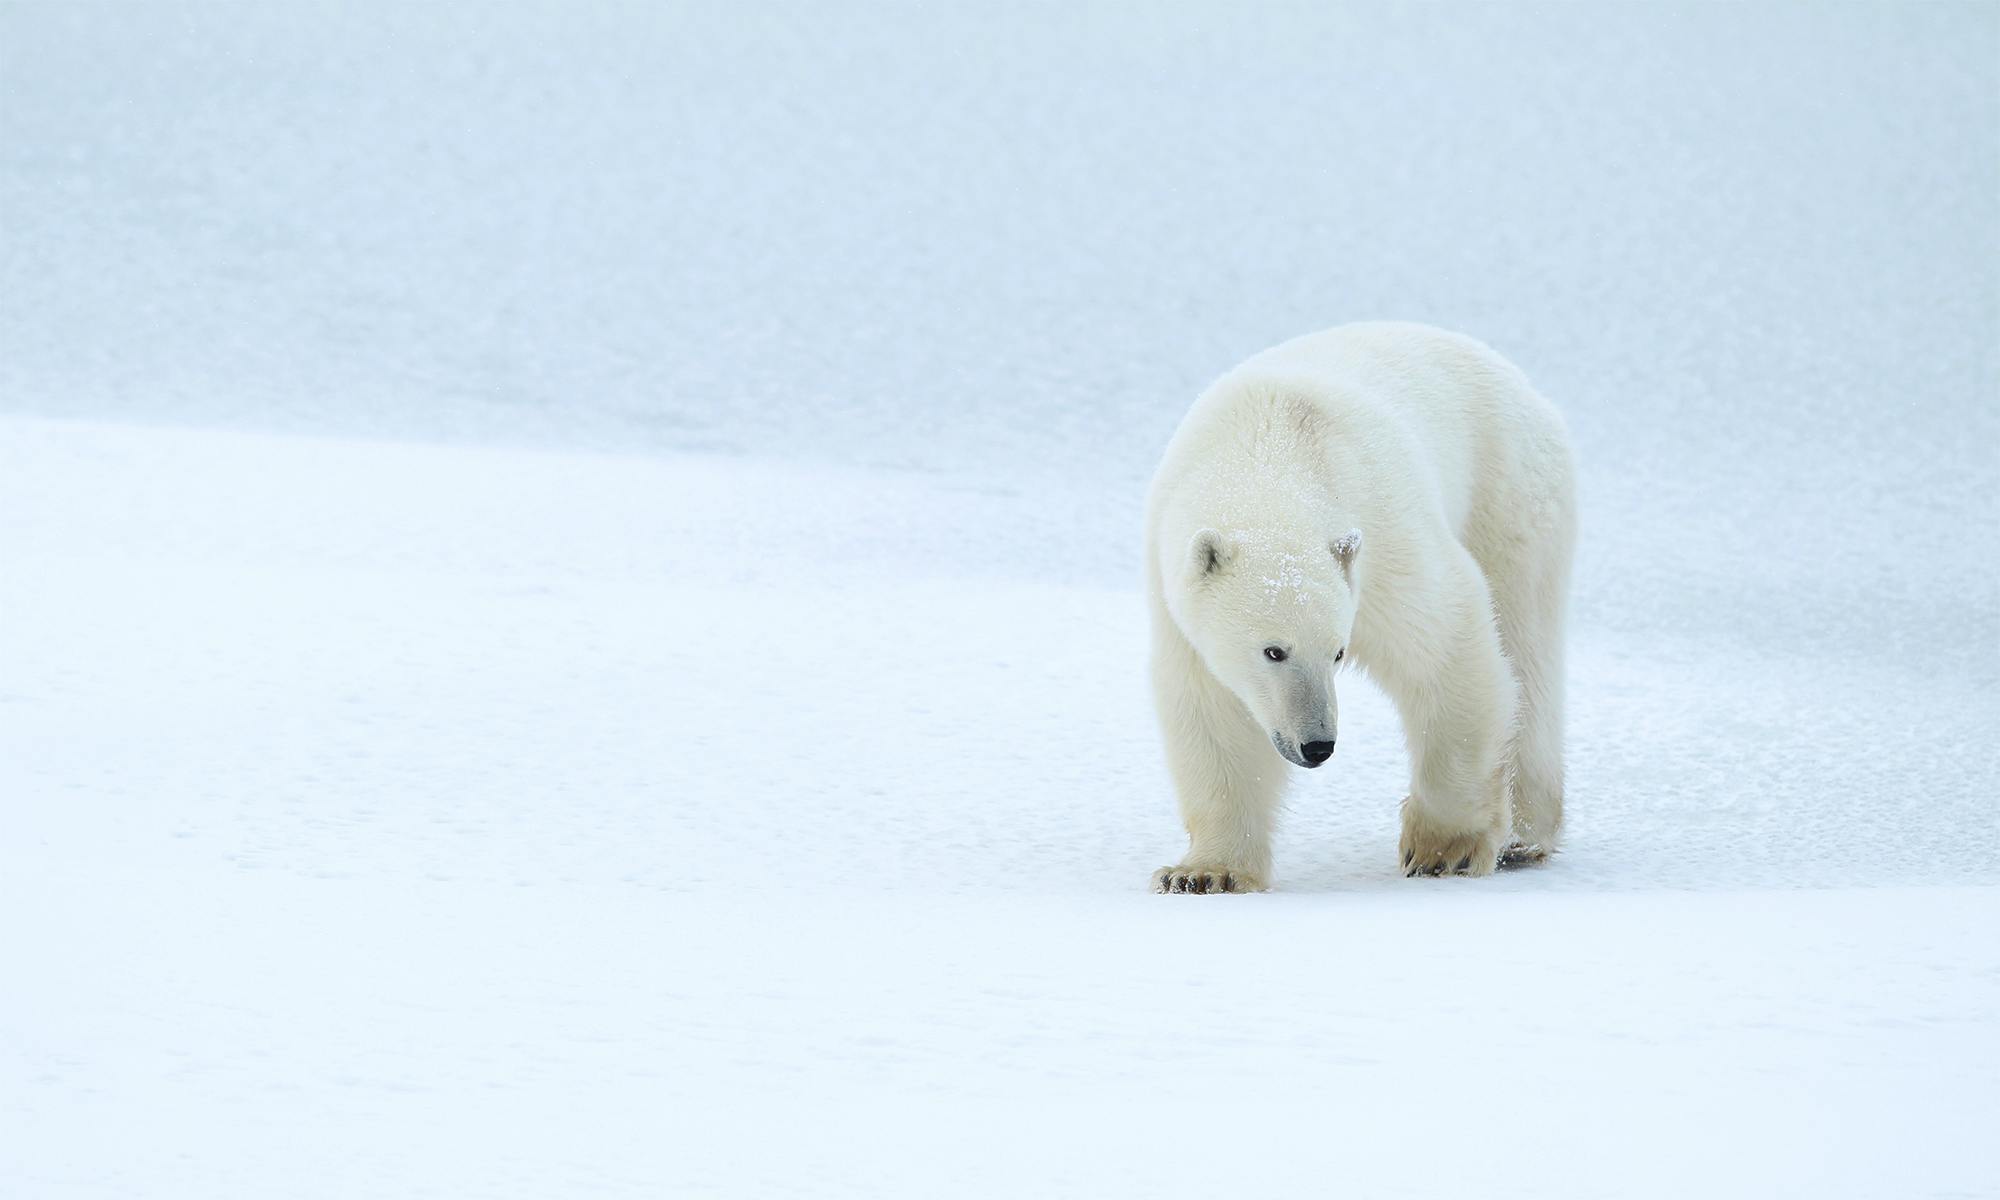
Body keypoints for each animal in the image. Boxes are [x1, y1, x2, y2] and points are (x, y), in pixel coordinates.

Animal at [1145, 321, 1576, 893]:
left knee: (1526, 648)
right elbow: (1214, 712)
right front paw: (1204, 873)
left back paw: (1524, 834)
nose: (1317, 745)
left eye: (1337, 653)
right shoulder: (1177, 596)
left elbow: (1447, 649)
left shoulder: (1382, 541)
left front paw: (1444, 848)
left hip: (1511, 496)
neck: (1271, 448)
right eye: (1274, 651)